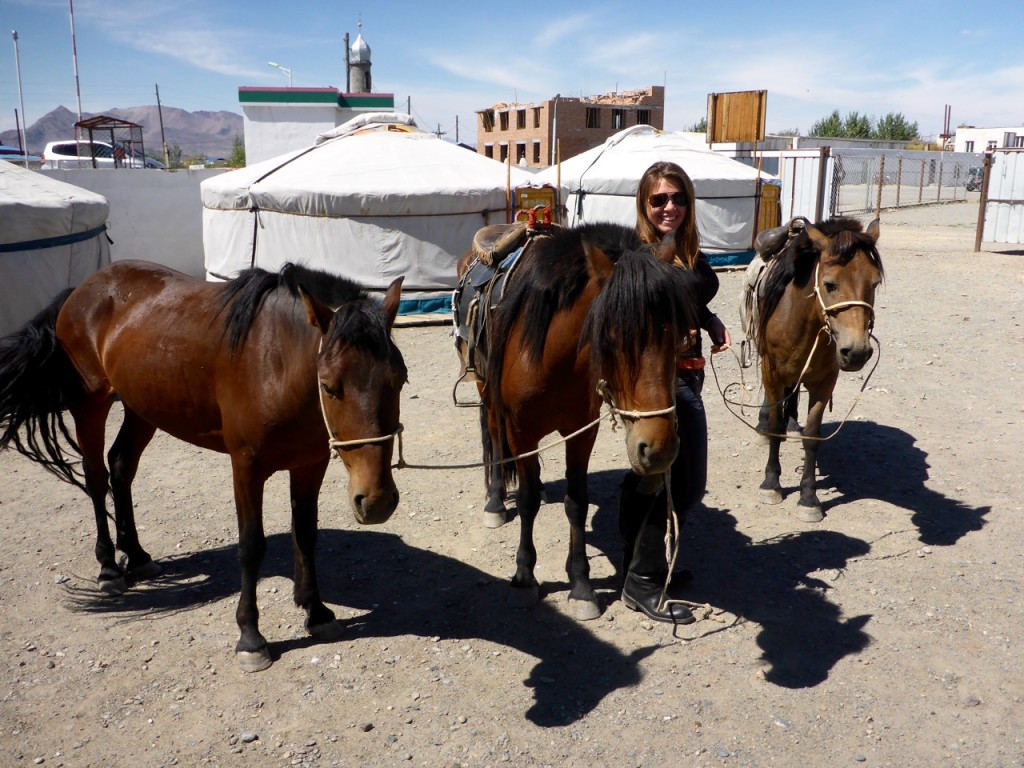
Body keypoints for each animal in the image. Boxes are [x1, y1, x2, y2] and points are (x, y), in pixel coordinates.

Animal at [0, 262, 407, 671]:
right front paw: (250, 637)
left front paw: (317, 612)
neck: (275, 361)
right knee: (97, 478)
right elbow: (251, 546)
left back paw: (137, 555)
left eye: (400, 380)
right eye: (328, 386)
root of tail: (82, 289)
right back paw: (110, 567)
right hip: (90, 405)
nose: (376, 501)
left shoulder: (310, 464)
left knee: (121, 467)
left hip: (142, 407)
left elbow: (305, 536)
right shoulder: (246, 467)